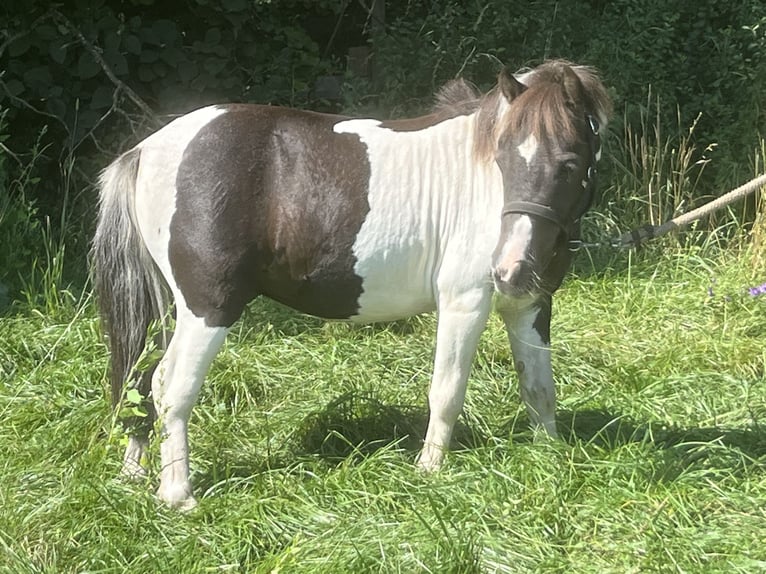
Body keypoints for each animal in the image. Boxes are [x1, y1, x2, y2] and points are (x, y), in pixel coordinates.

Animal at [94, 59, 612, 508]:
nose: (509, 268)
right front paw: (429, 470)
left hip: (172, 310)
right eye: (503, 157)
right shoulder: (463, 303)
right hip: (208, 307)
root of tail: (147, 150)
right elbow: (446, 390)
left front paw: (548, 454)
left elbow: (538, 386)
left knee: (142, 380)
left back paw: (134, 472)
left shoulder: (531, 304)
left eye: (569, 163)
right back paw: (177, 494)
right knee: (171, 385)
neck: (485, 190)